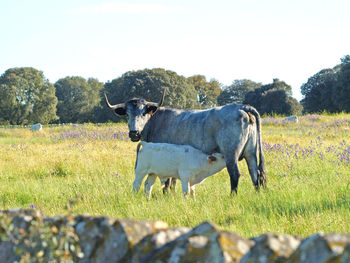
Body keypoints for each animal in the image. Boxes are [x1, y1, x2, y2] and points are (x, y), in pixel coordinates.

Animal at [105, 89, 266, 195]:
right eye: (127, 114)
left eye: (144, 112)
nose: (134, 133)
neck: (155, 121)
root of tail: (241, 106)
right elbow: (173, 182)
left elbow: (167, 182)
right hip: (251, 153)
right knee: (256, 174)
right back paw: (258, 195)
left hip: (231, 154)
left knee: (235, 174)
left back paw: (232, 197)